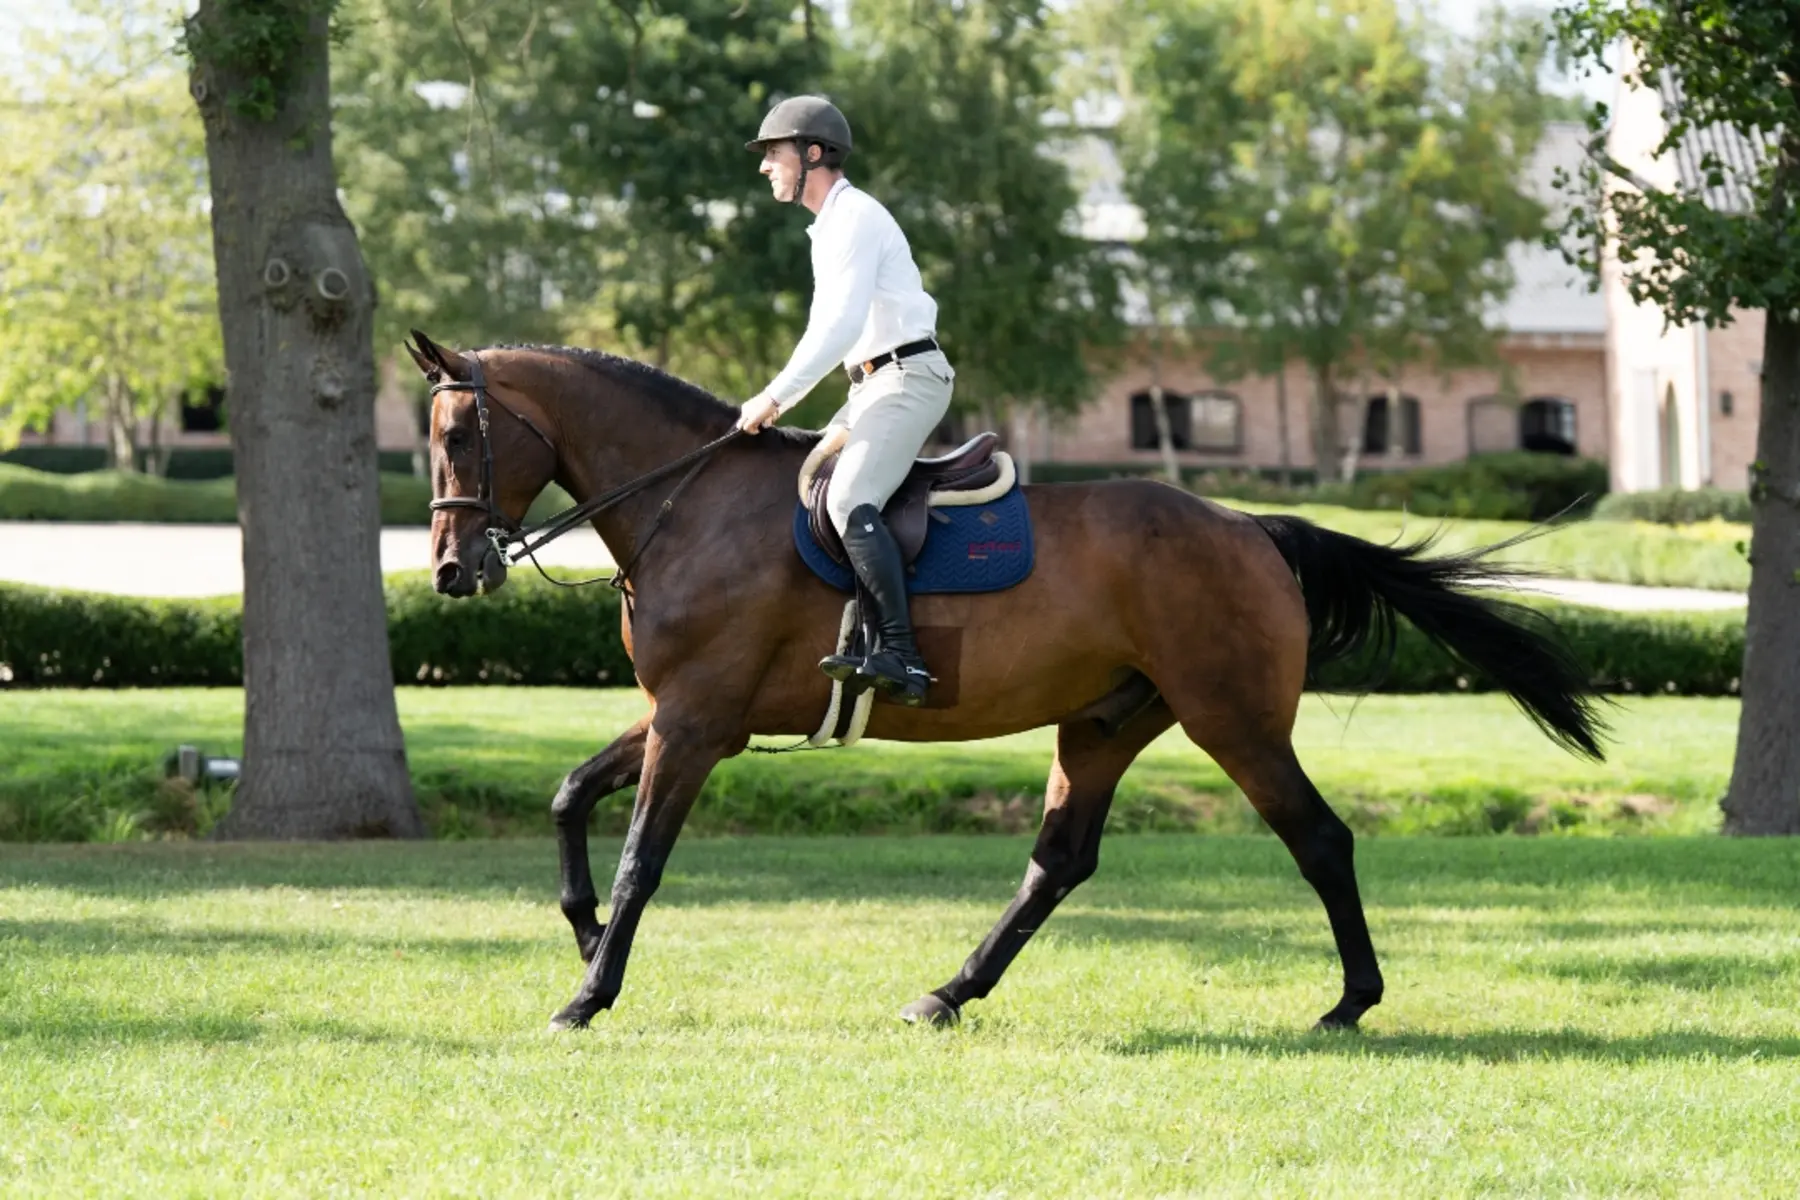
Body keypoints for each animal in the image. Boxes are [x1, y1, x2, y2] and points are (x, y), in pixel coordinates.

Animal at [405, 330, 1607, 1033]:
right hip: (1106, 726)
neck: (686, 504)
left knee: (1319, 839)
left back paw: (1350, 1004)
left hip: (1232, 720)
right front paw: (582, 932)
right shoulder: (683, 716)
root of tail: (1248, 527)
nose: (454, 572)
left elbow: (645, 857)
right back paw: (948, 993)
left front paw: (588, 991)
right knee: (1059, 863)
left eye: (461, 432)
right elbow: (569, 798)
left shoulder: (697, 724)